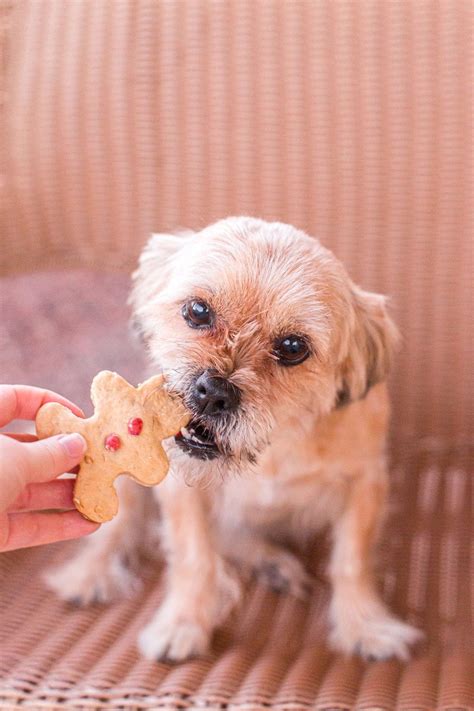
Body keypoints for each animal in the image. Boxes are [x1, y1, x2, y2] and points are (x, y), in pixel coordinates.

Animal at [46, 217, 420, 660]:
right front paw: (183, 623)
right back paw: (89, 574)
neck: (271, 449)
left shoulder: (365, 484)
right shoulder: (178, 491)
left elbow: (352, 561)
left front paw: (365, 625)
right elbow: (193, 557)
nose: (214, 391)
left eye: (292, 347)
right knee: (120, 528)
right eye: (197, 311)